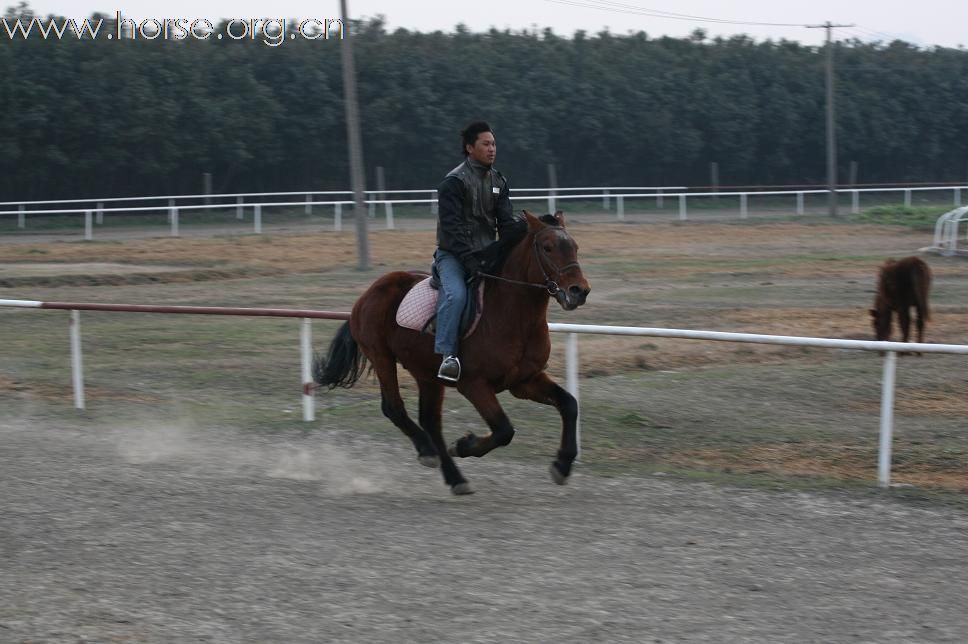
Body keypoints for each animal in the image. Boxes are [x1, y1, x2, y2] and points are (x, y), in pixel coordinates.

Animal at [316, 210, 588, 494]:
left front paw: (562, 465)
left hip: (426, 374)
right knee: (394, 408)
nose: (579, 291)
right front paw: (464, 445)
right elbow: (504, 430)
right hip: (382, 358)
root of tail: (368, 293)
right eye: (548, 247)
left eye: (575, 247)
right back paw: (427, 451)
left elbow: (569, 404)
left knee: (430, 421)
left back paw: (455, 477)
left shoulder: (524, 381)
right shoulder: (474, 384)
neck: (514, 318)